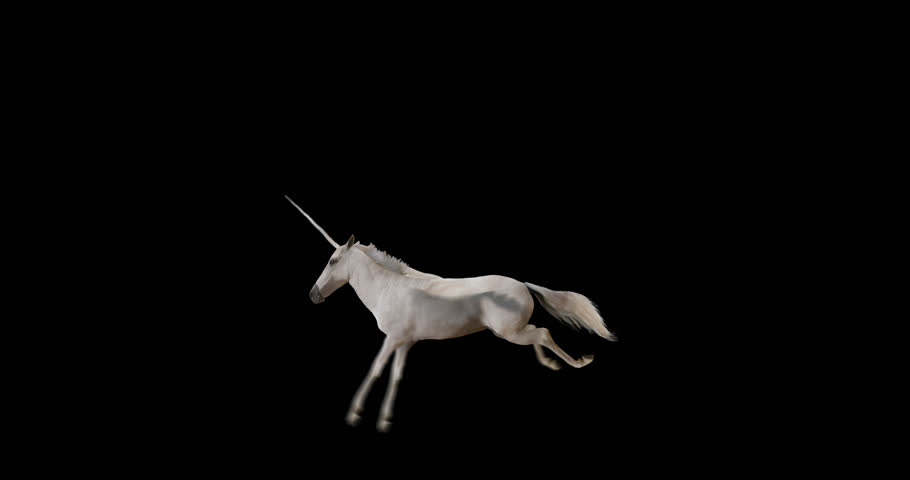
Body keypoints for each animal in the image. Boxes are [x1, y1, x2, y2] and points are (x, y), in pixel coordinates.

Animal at [286, 196, 617, 432]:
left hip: (510, 333)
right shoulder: (405, 342)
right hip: (511, 331)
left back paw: (579, 361)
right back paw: (552, 363)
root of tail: (523, 285)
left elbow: (376, 369)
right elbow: (396, 375)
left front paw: (355, 413)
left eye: (332, 261)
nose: (313, 295)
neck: (389, 288)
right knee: (538, 334)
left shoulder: (392, 338)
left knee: (544, 333)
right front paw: (384, 419)